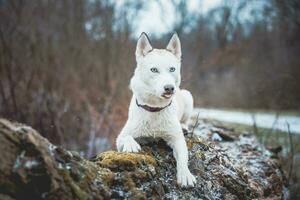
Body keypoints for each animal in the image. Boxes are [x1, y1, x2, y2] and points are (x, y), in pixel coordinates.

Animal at [116, 32, 196, 187]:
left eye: (172, 69)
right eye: (154, 70)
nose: (170, 88)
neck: (154, 109)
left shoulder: (177, 139)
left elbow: (183, 158)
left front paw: (185, 174)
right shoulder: (120, 137)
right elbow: (126, 137)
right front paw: (131, 145)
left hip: (188, 96)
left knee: (186, 120)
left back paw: (184, 126)